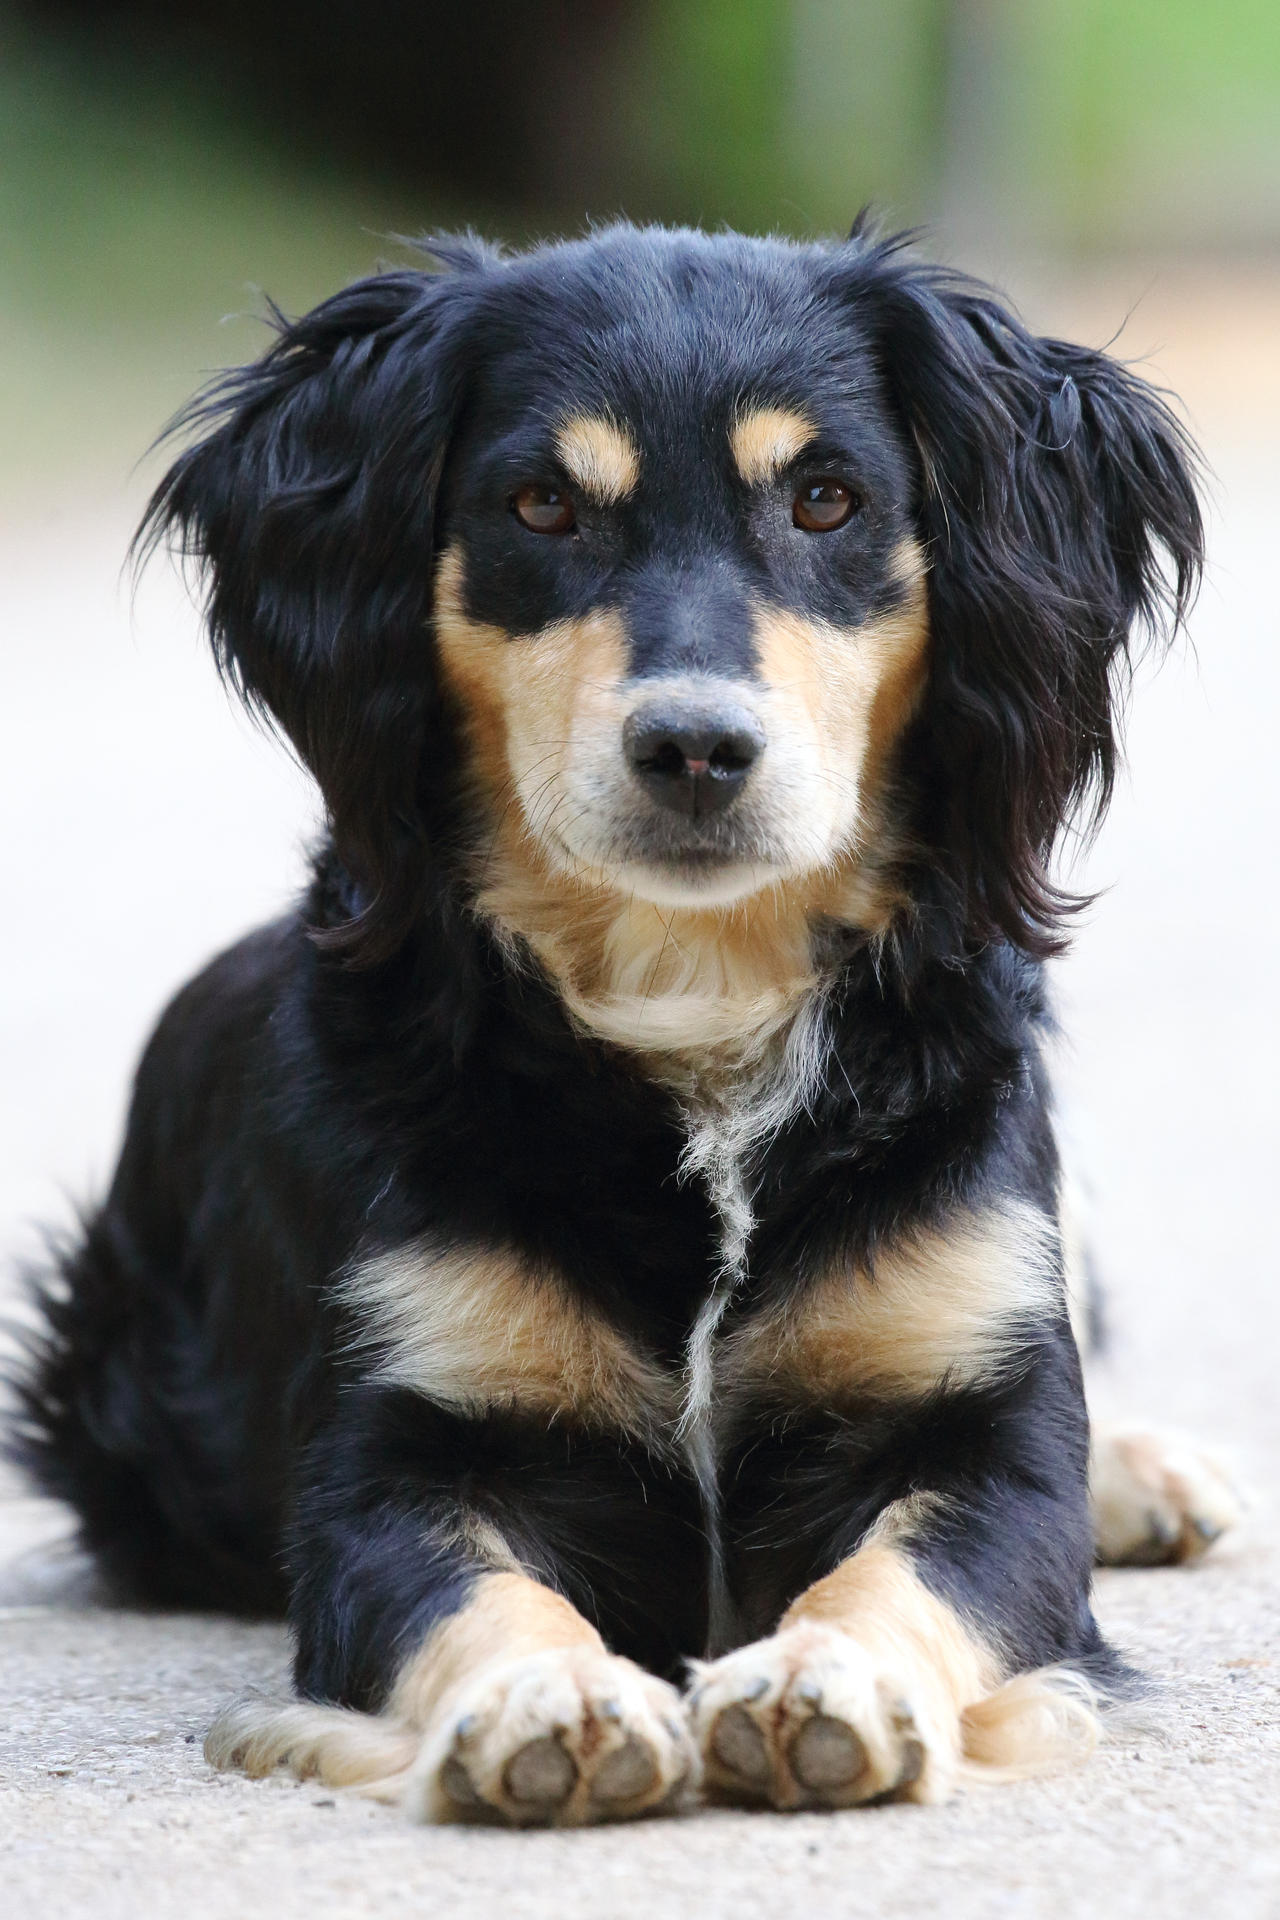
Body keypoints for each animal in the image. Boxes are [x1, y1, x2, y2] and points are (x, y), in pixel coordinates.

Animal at [7, 217, 1243, 1820]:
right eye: (541, 505)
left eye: (827, 499)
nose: (696, 748)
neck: (692, 1000)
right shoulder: (392, 1452)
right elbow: (478, 1594)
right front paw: (550, 1699)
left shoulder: (990, 1426)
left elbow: (910, 1570)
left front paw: (819, 1680)